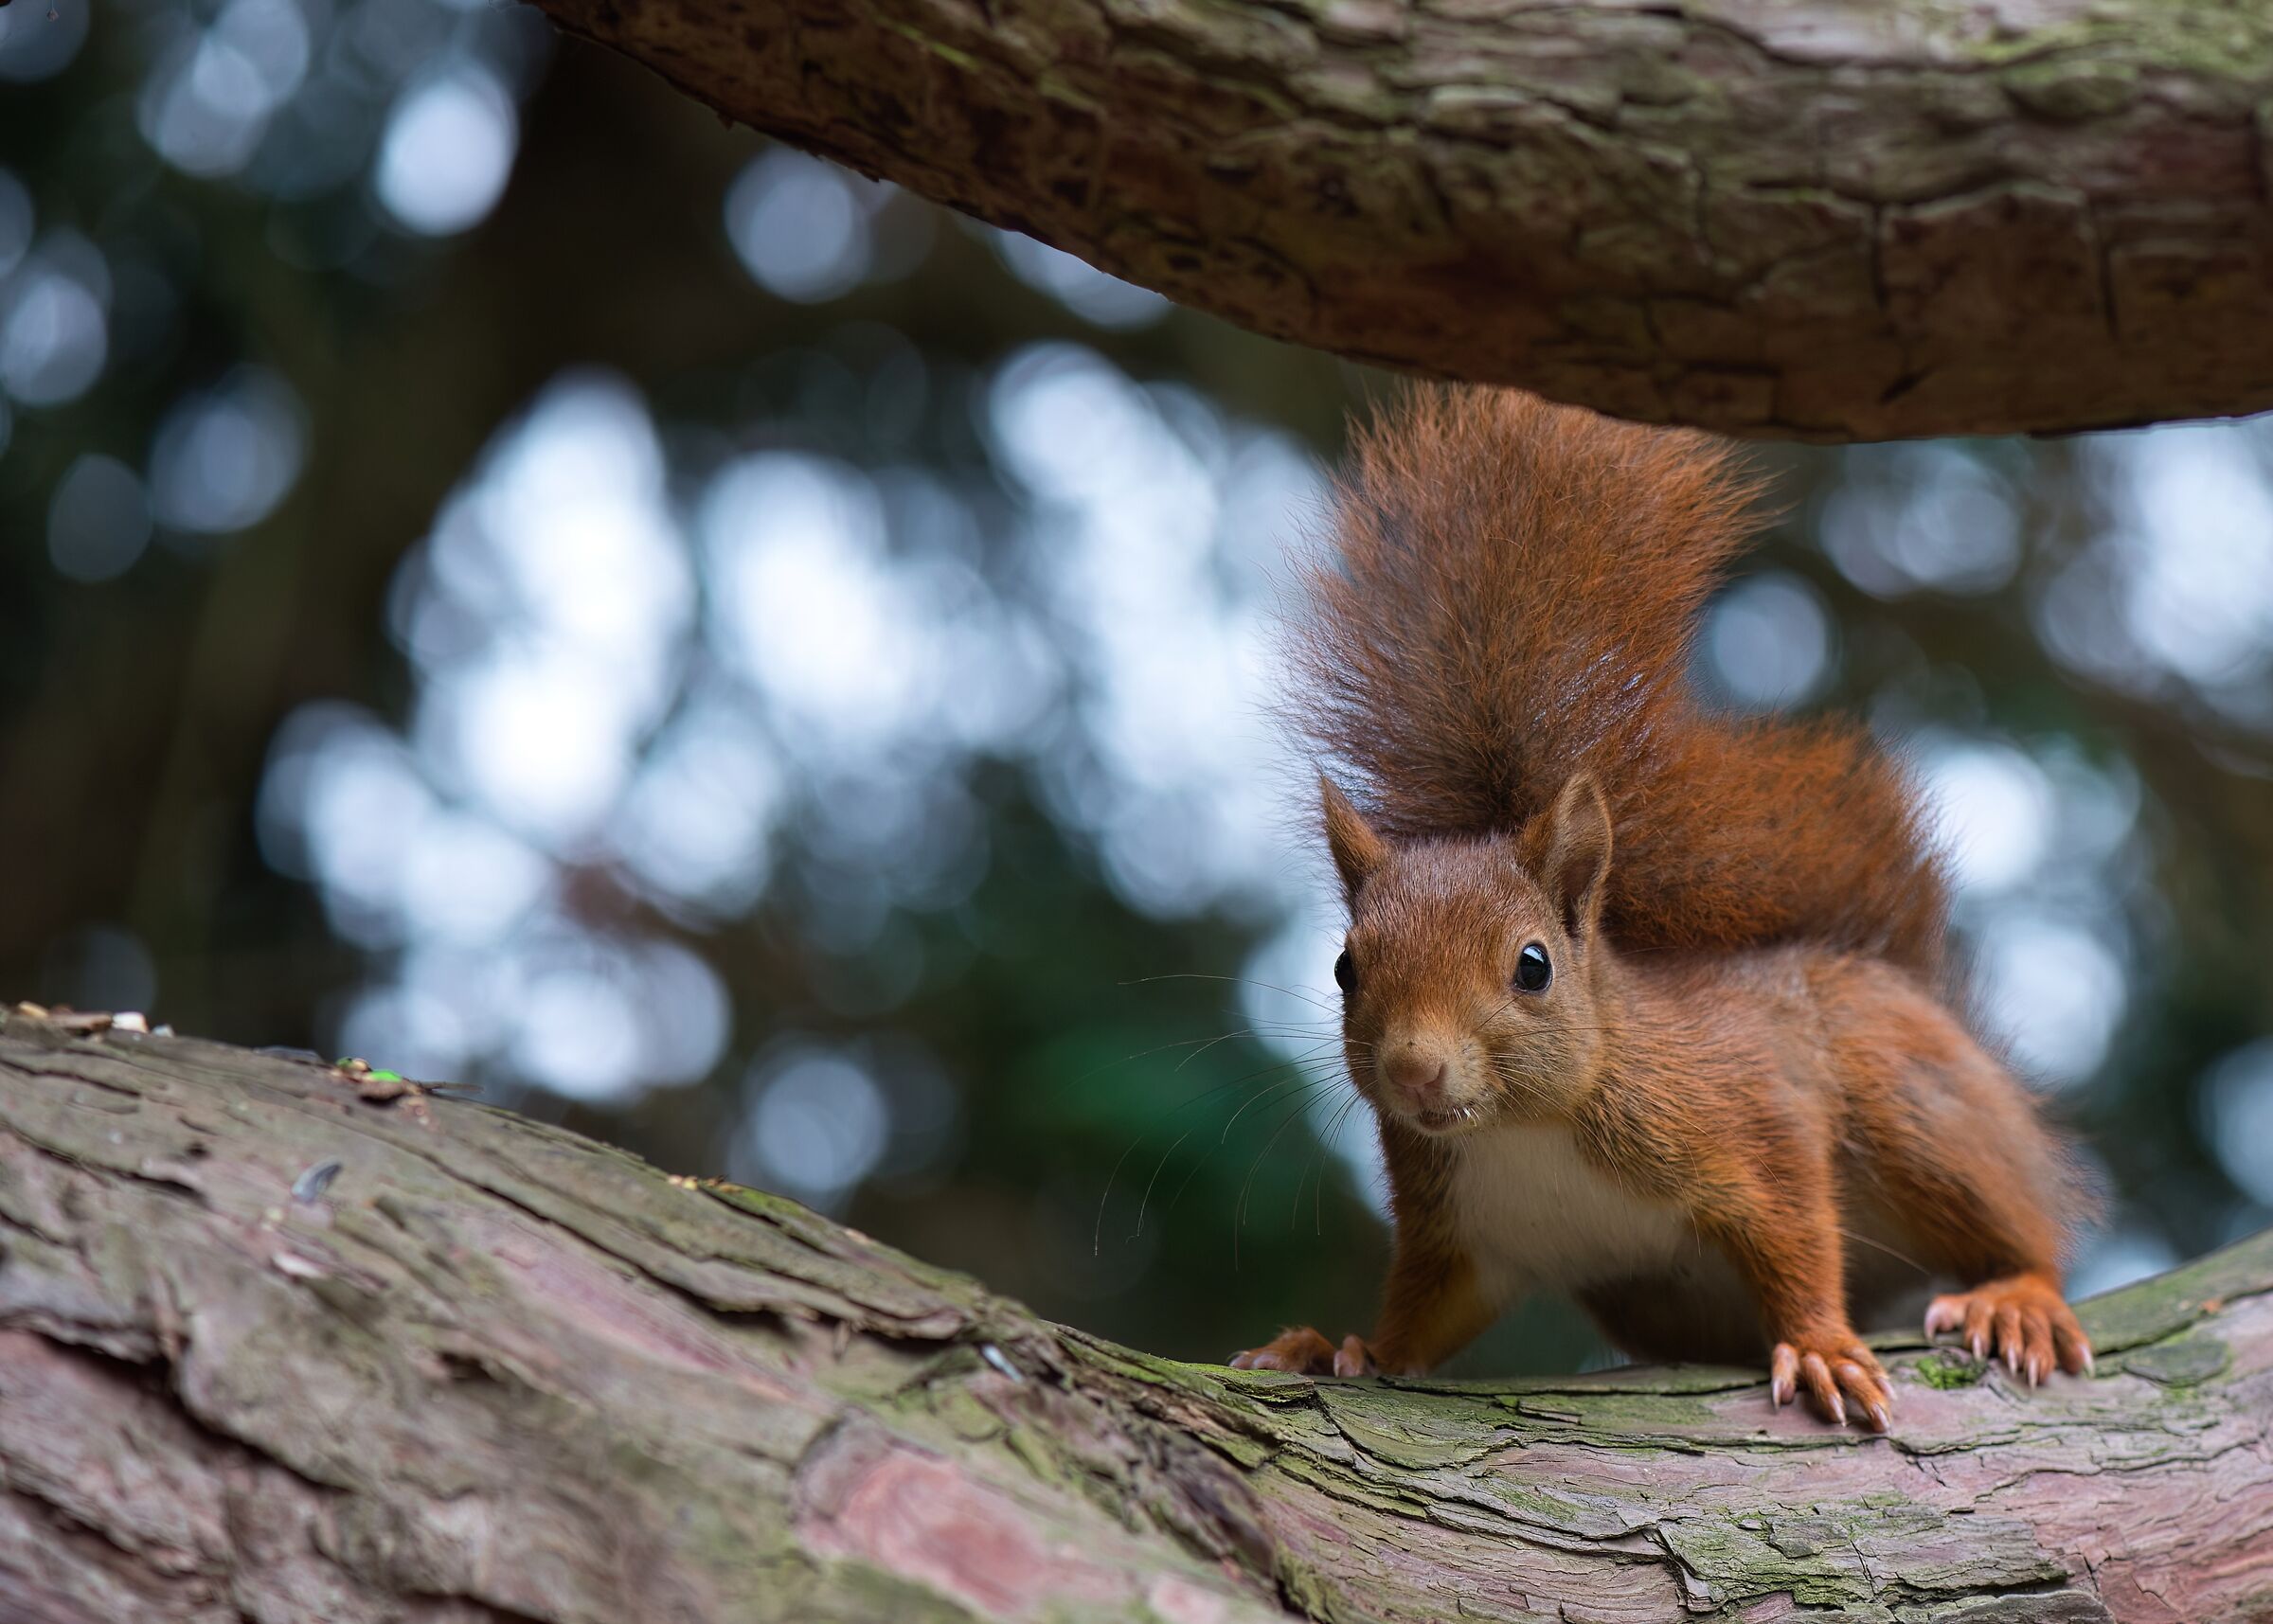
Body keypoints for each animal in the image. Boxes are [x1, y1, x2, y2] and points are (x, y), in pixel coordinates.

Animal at [1229, 388, 2096, 1431]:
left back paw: (2019, 1294)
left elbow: (1797, 1232)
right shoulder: (1462, 1235)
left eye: (1533, 965)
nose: (1412, 1070)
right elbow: (1421, 1318)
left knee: (2025, 1225)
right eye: (1344, 966)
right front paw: (1338, 1346)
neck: (1523, 1127)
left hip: (1919, 1111)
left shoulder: (1751, 1115)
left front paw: (1820, 1345)